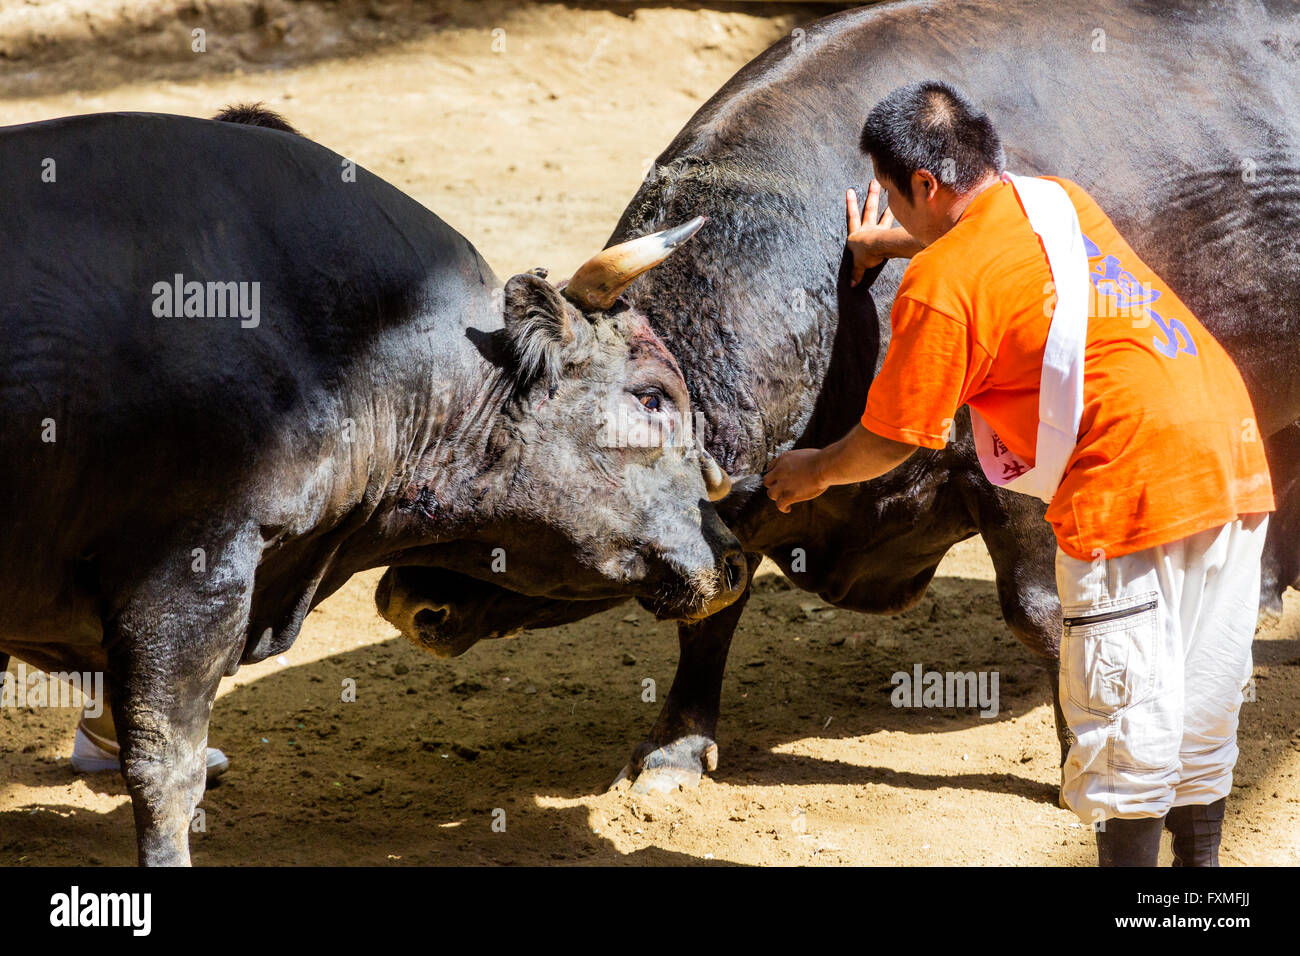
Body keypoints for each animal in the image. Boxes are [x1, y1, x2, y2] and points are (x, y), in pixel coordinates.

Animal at [379, 0, 1300, 790]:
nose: (405, 600)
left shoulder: (1014, 474)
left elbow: (1042, 612)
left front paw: (1082, 758)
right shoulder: (736, 520)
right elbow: (714, 607)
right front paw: (675, 747)